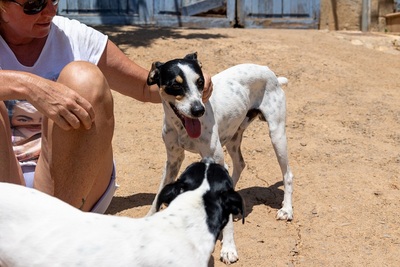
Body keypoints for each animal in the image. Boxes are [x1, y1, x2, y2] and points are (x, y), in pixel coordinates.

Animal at [147, 52, 294, 264]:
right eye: (175, 85)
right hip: (233, 138)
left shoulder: (214, 156)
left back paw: (287, 210)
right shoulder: (173, 159)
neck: (182, 128)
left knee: (288, 174)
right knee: (240, 163)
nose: (199, 110)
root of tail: (269, 71)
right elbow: (159, 193)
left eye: (200, 82)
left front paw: (229, 248)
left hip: (277, 135)